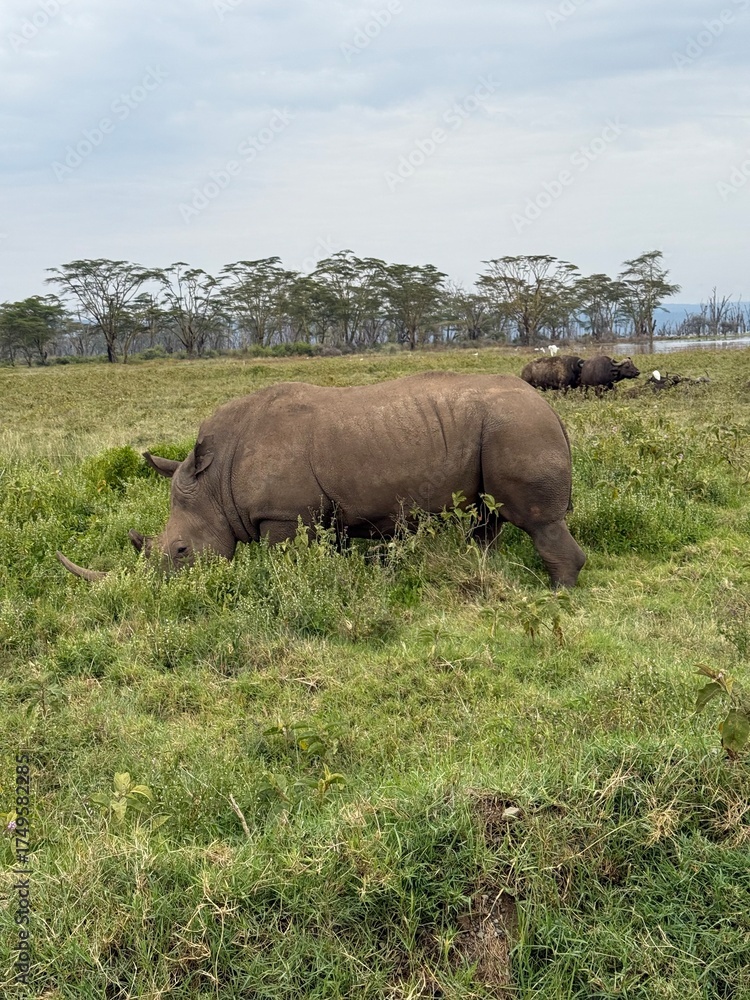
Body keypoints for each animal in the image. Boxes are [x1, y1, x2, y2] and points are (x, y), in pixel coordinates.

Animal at [57, 372, 586, 588]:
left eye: (182, 552)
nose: (157, 592)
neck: (216, 480)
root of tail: (550, 408)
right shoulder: (319, 515)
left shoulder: (283, 516)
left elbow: (283, 564)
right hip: (504, 428)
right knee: (486, 519)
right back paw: (486, 572)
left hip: (517, 427)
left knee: (535, 521)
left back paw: (558, 592)